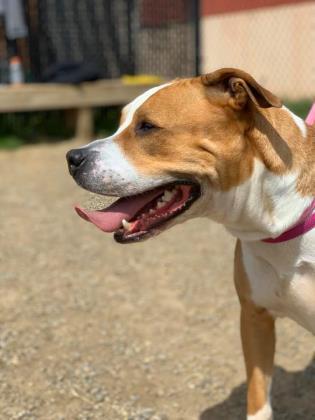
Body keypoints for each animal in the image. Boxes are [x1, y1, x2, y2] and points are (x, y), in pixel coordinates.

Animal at [65, 69, 314, 420]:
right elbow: (258, 400)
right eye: (121, 122)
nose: (72, 157)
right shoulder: (254, 318)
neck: (280, 225)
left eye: (147, 126)